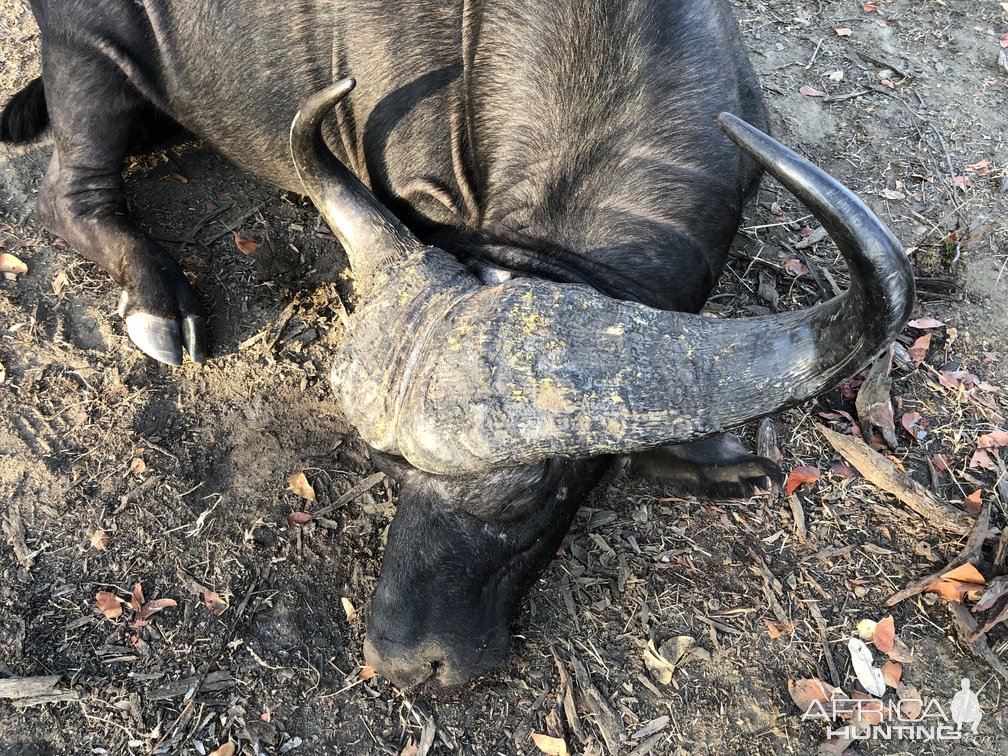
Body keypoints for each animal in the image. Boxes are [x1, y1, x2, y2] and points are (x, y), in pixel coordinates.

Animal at [0, 0, 915, 689]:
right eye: (391, 468)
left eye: (533, 491)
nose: (405, 662)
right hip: (88, 58)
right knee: (64, 196)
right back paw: (161, 307)